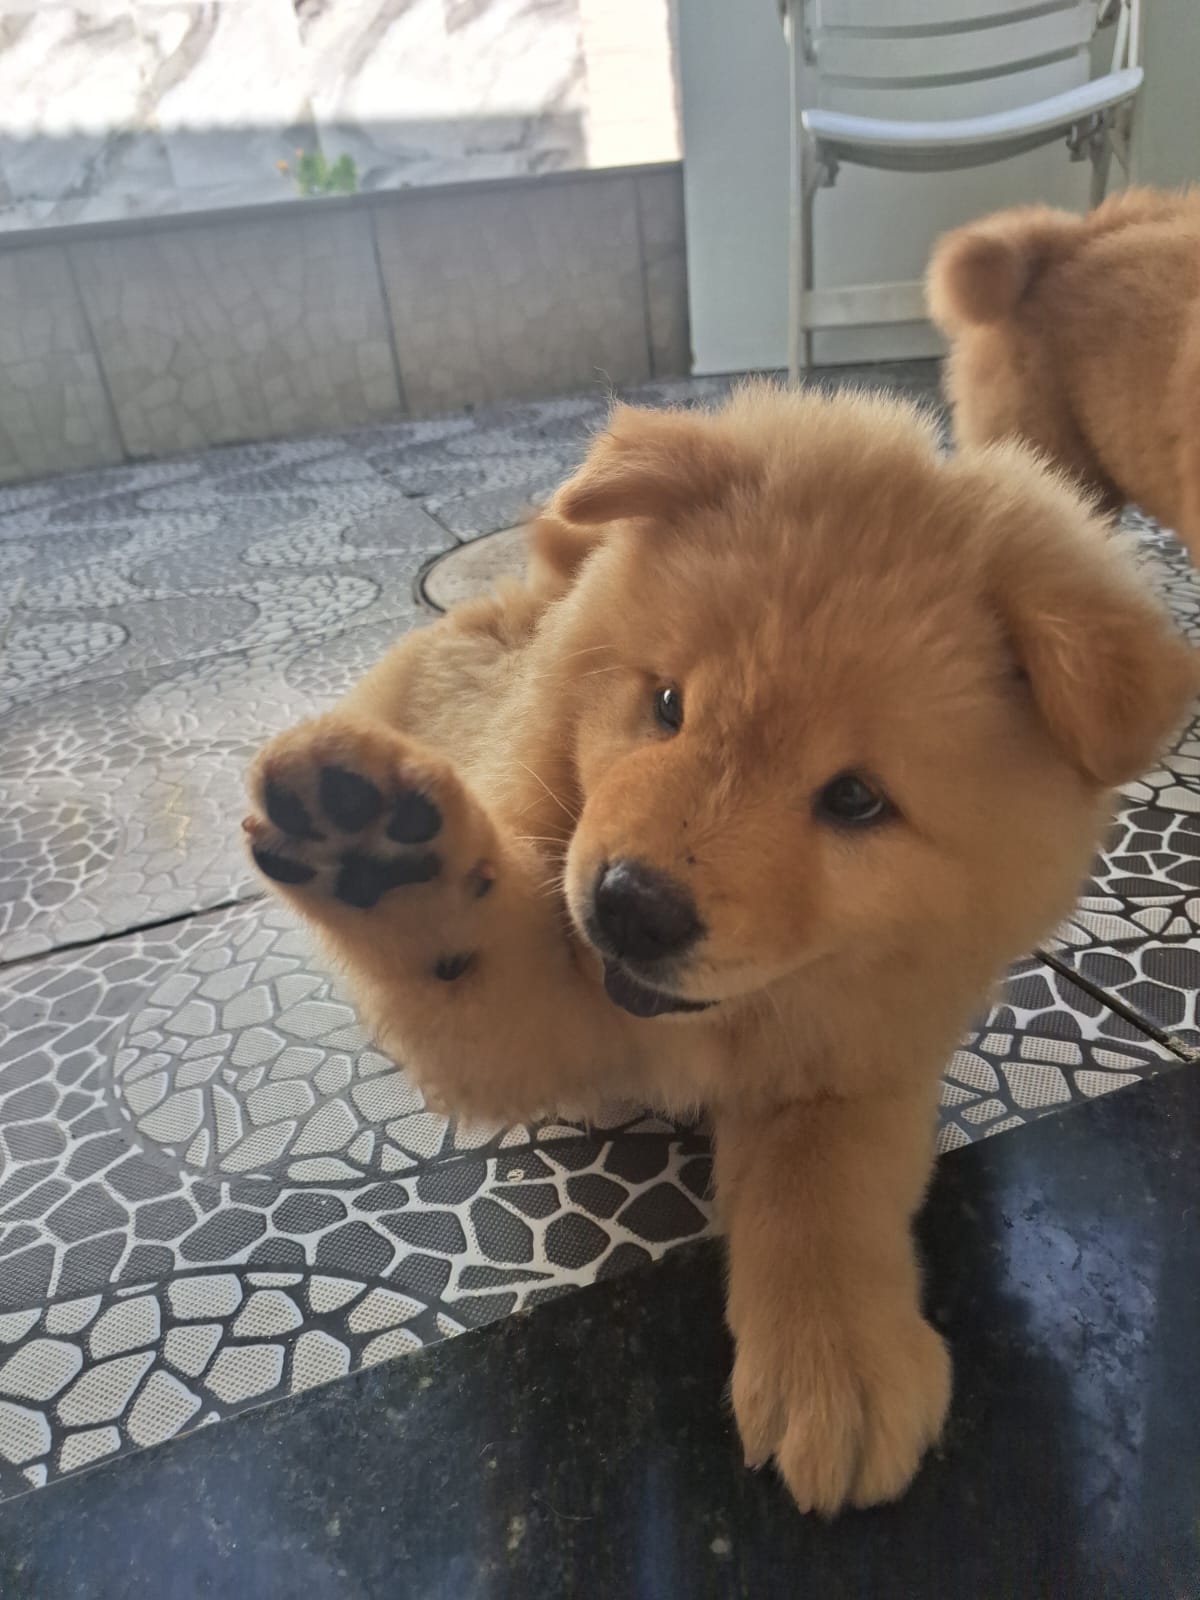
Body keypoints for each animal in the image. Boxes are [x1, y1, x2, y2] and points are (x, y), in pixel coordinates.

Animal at [249, 384, 1196, 1510]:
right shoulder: (549, 1015)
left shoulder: (860, 1058)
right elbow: (479, 962)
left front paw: (839, 1361)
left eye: (855, 800)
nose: (632, 908)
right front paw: (399, 872)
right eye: (667, 706)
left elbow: (822, 1181)